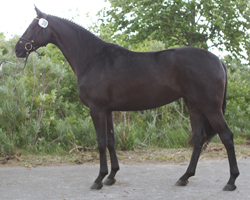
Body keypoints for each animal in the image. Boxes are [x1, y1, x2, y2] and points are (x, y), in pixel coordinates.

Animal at [14, 7, 239, 191]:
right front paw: (111, 177)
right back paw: (184, 177)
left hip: (210, 107)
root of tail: (218, 60)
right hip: (194, 106)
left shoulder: (96, 109)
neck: (93, 58)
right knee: (199, 138)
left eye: (33, 26)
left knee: (227, 136)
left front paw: (98, 179)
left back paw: (231, 181)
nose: (17, 49)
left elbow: (100, 143)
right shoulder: (107, 110)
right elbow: (111, 141)